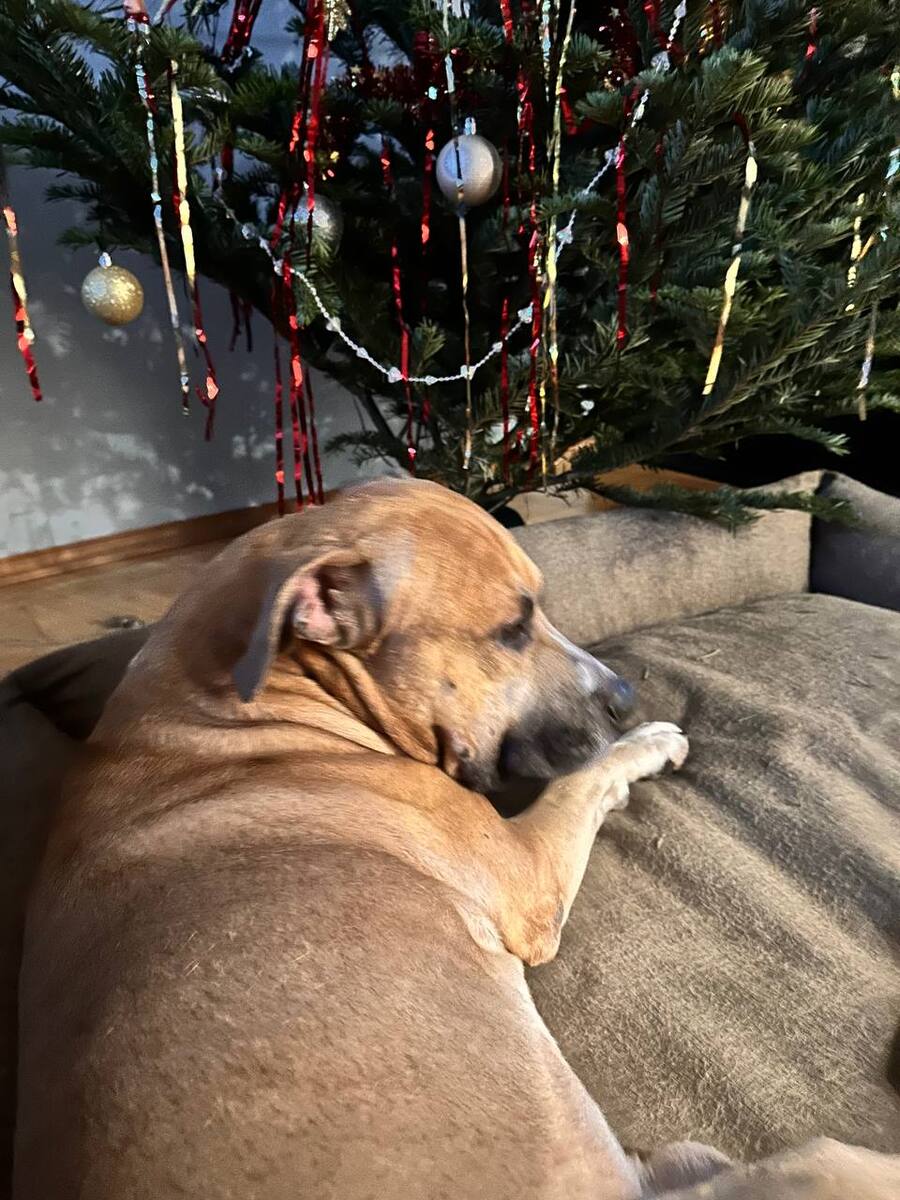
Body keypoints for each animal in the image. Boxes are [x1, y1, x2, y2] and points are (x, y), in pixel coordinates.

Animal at [13, 478, 900, 1199]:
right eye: (511, 629)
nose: (623, 692)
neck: (243, 709)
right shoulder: (528, 874)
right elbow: (583, 777)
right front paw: (647, 739)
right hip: (817, 1161)